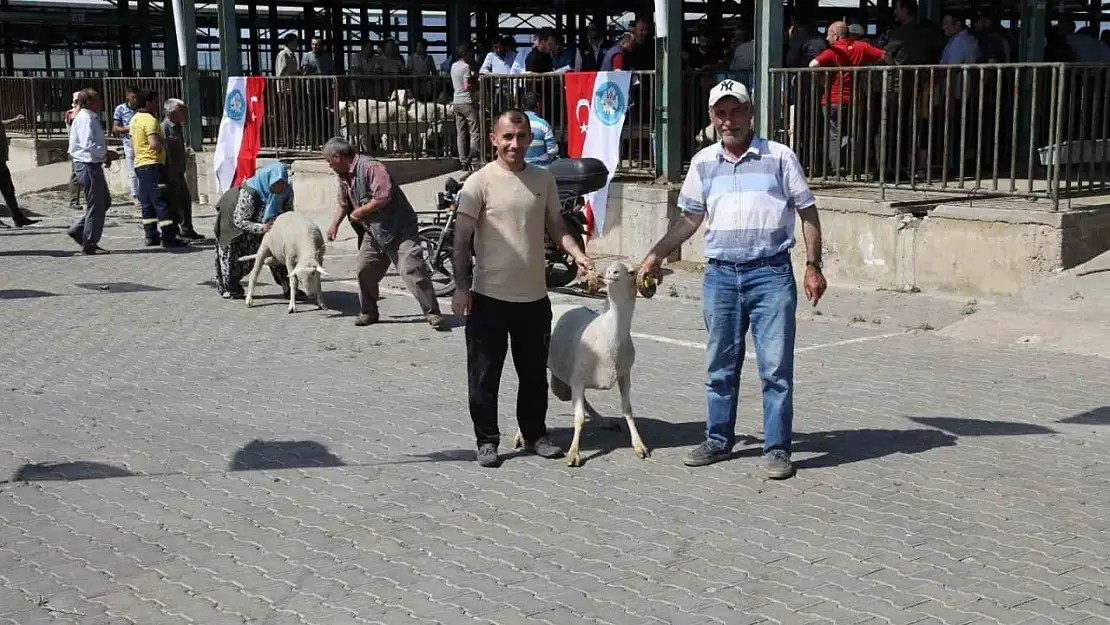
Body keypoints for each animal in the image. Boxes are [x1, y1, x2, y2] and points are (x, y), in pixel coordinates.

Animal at [512, 261, 648, 466]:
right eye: (610, 267)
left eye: (632, 272)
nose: (612, 273)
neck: (608, 333)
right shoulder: (578, 381)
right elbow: (579, 418)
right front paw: (574, 454)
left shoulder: (624, 376)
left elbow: (627, 409)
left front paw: (639, 446)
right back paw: (520, 437)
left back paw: (604, 421)